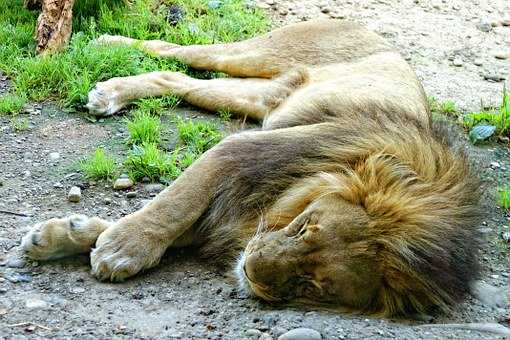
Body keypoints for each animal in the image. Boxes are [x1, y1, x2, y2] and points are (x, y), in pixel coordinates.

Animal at [20, 19, 482, 318]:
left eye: (314, 285)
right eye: (304, 227)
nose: (251, 269)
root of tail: (371, 29)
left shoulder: (240, 213)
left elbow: (181, 220)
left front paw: (64, 236)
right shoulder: (248, 149)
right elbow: (178, 200)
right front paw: (122, 247)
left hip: (259, 97)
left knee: (177, 79)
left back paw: (112, 91)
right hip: (256, 55)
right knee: (179, 51)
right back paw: (107, 43)